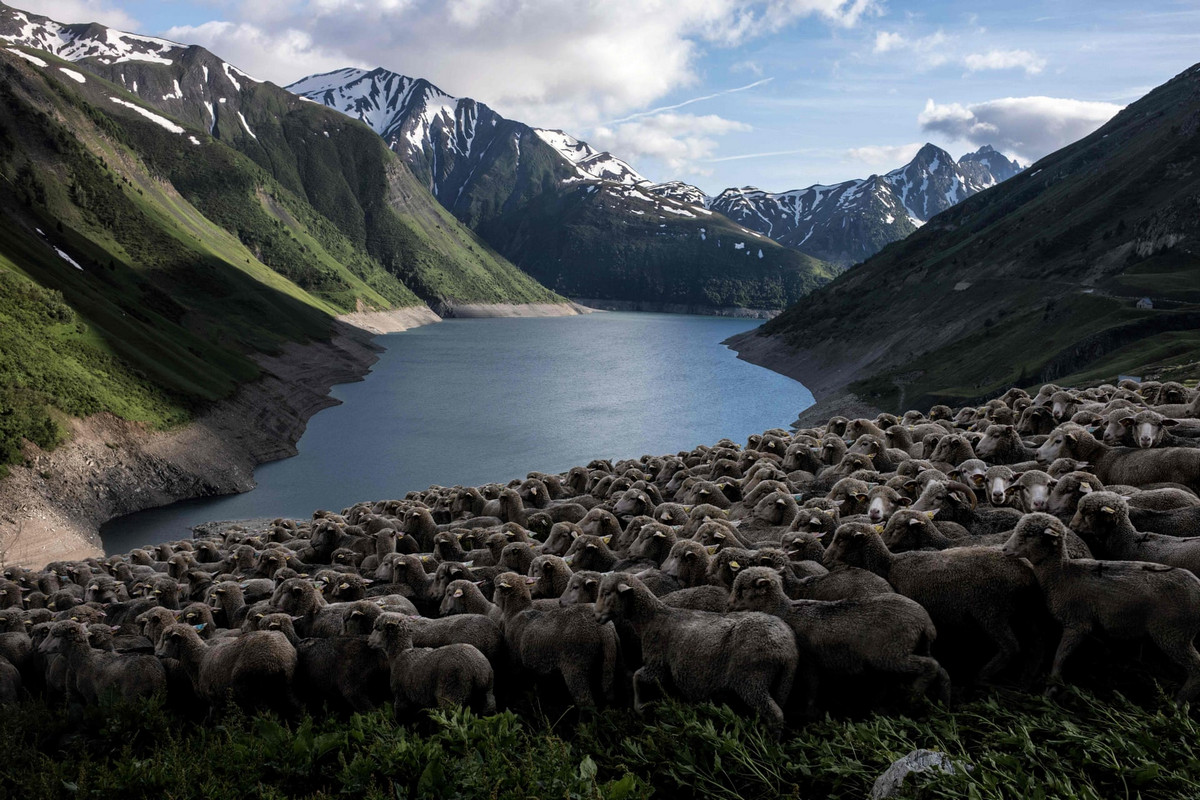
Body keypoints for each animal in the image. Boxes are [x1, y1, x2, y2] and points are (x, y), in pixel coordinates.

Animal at [592, 575, 796, 734]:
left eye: (607, 593)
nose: (595, 616)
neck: (651, 619)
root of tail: (787, 648)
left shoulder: (657, 664)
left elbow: (637, 676)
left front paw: (640, 708)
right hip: (781, 682)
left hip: (752, 679)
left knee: (775, 714)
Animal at [724, 566, 950, 710]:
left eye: (742, 588)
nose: (728, 605)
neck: (785, 610)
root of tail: (925, 621)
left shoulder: (809, 662)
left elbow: (812, 688)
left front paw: (809, 710)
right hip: (914, 647)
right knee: (940, 668)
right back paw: (943, 700)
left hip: (891, 653)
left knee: (930, 665)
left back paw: (914, 696)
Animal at [998, 513, 1200, 700]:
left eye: (1029, 535)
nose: (1004, 549)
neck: (1062, 574)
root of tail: (1197, 586)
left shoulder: (1077, 623)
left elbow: (1059, 658)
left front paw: (1051, 689)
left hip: (1173, 632)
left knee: (1196, 665)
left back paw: (1180, 702)